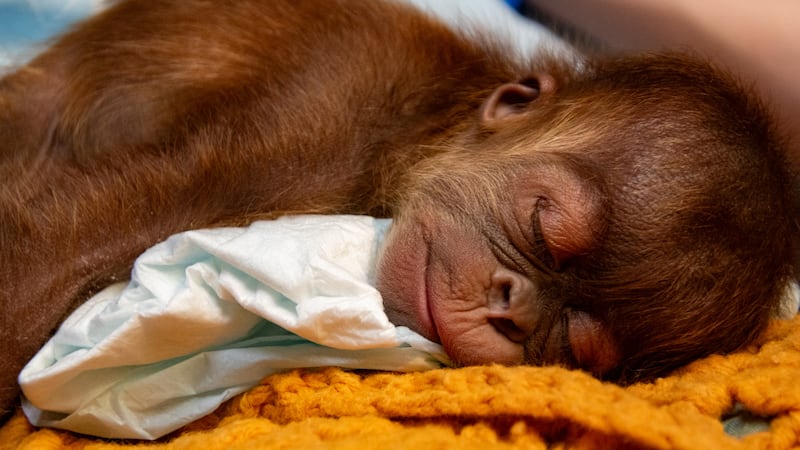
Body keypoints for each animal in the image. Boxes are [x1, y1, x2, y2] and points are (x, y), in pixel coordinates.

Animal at [0, 0, 796, 422]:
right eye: (543, 226)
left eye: (577, 345)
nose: (512, 307)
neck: (415, 122)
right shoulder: (318, 117)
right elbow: (97, 230)